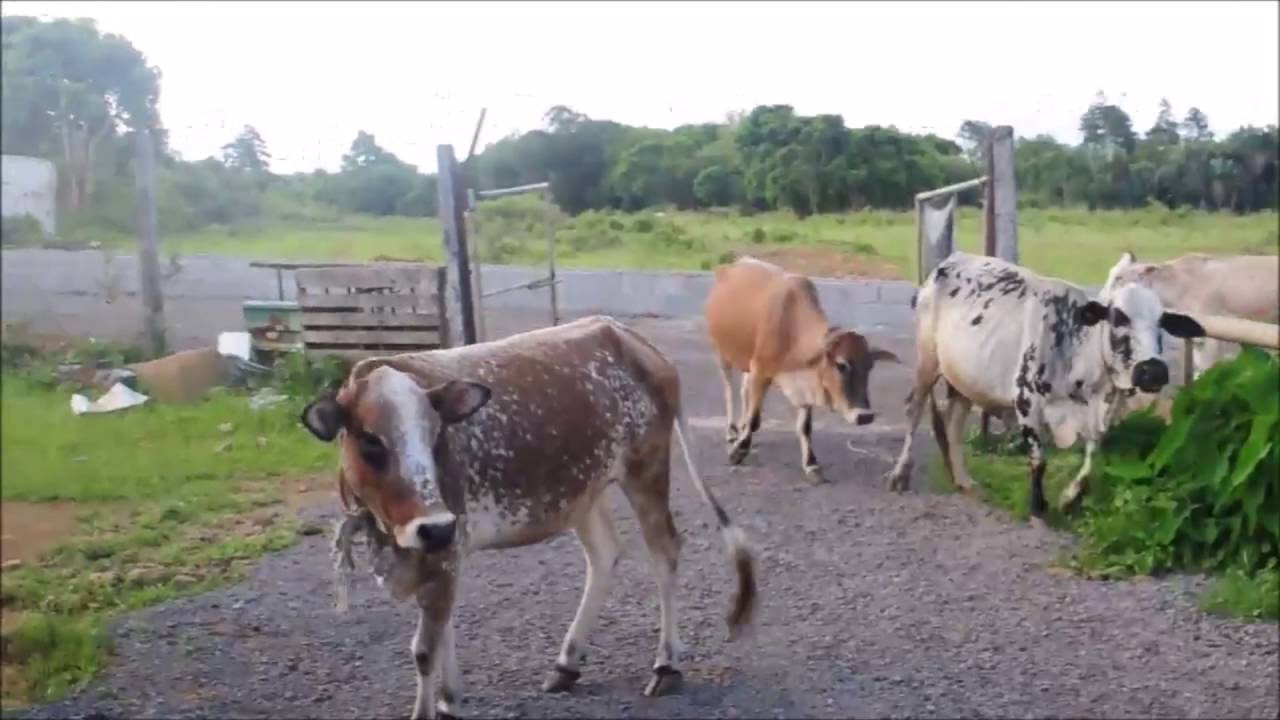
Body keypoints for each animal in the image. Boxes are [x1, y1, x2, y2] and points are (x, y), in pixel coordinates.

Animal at [300, 316, 757, 720]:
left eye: (435, 435)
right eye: (370, 440)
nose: (434, 526)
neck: (388, 533)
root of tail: (630, 337)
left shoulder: (445, 545)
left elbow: (425, 648)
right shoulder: (439, 550)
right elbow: (442, 627)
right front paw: (450, 699)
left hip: (646, 469)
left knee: (664, 551)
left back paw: (666, 664)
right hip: (584, 490)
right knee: (605, 554)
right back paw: (568, 663)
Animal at [703, 256, 899, 483]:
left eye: (870, 366)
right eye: (841, 365)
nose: (865, 416)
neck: (791, 330)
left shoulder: (803, 385)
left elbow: (805, 427)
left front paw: (811, 465)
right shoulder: (761, 371)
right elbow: (754, 419)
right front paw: (738, 451)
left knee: (744, 391)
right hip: (721, 353)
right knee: (729, 390)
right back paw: (731, 431)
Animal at [884, 252, 1206, 522]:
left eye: (1163, 321)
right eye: (1118, 317)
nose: (1153, 371)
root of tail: (947, 262)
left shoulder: (1099, 418)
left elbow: (1093, 456)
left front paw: (1069, 498)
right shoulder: (1026, 401)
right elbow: (1039, 461)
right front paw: (1038, 507)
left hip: (964, 380)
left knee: (953, 423)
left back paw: (963, 480)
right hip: (927, 363)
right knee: (914, 409)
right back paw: (900, 474)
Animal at [1102, 251, 1279, 377]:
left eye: (1119, 278)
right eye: (1111, 274)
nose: (1102, 299)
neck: (1180, 286)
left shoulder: (1210, 335)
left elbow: (1206, 368)